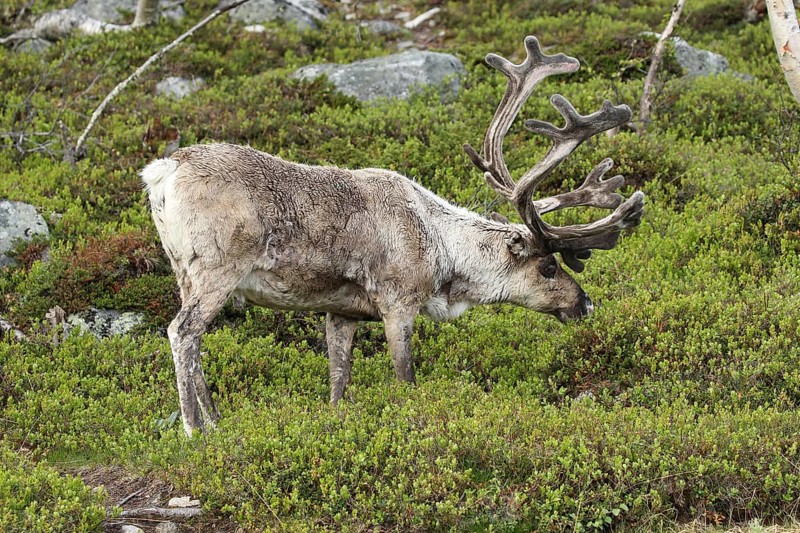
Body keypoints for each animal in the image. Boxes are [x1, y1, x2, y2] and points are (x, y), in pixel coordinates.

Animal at [141, 36, 645, 437]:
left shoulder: (340, 312)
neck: (441, 251)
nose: (585, 304)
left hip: (182, 272)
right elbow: (405, 378)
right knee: (182, 332)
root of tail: (164, 170)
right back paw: (195, 431)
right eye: (547, 267)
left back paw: (217, 421)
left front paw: (337, 421)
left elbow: (338, 383)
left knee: (194, 339)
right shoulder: (399, 303)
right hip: (216, 270)